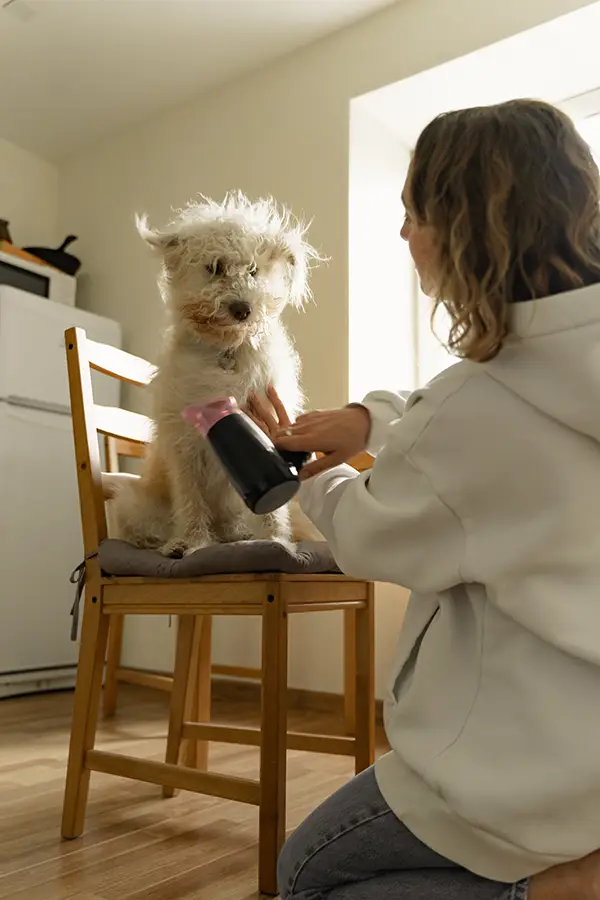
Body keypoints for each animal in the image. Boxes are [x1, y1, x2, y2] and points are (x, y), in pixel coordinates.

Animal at [112, 191, 318, 556]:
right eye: (215, 267)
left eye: (253, 270)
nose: (242, 309)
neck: (226, 351)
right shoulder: (184, 444)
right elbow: (191, 500)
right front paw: (192, 542)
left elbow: (274, 509)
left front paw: (277, 540)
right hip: (132, 503)